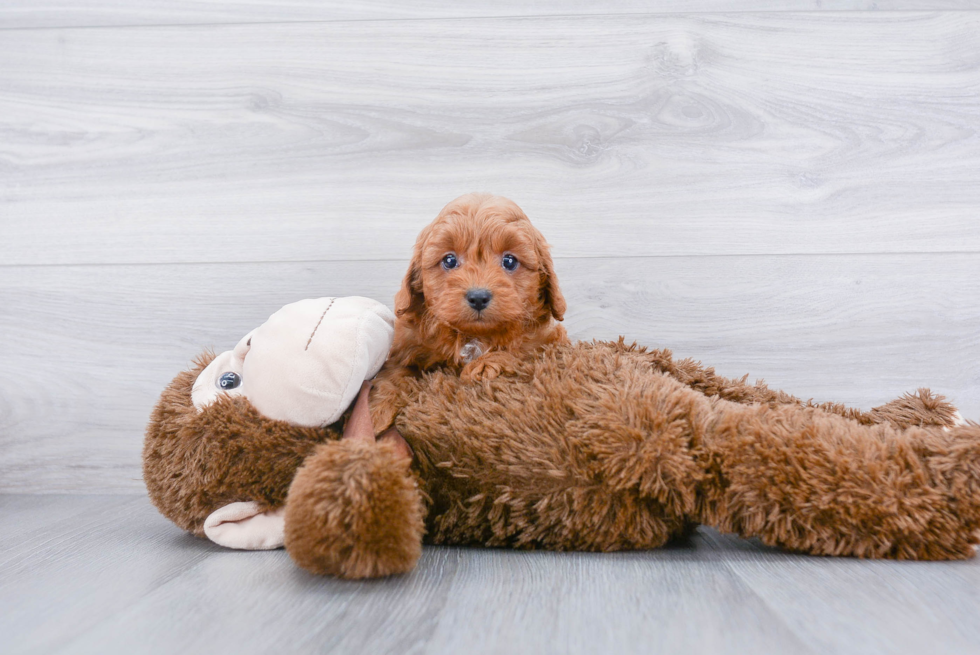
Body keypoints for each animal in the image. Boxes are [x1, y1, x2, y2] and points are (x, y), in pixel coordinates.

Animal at [372, 192, 572, 430]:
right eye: (449, 260)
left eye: (509, 261)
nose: (478, 297)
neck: (473, 335)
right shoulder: (406, 346)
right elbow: (395, 372)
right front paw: (377, 413)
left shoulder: (550, 343)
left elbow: (523, 352)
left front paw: (483, 366)